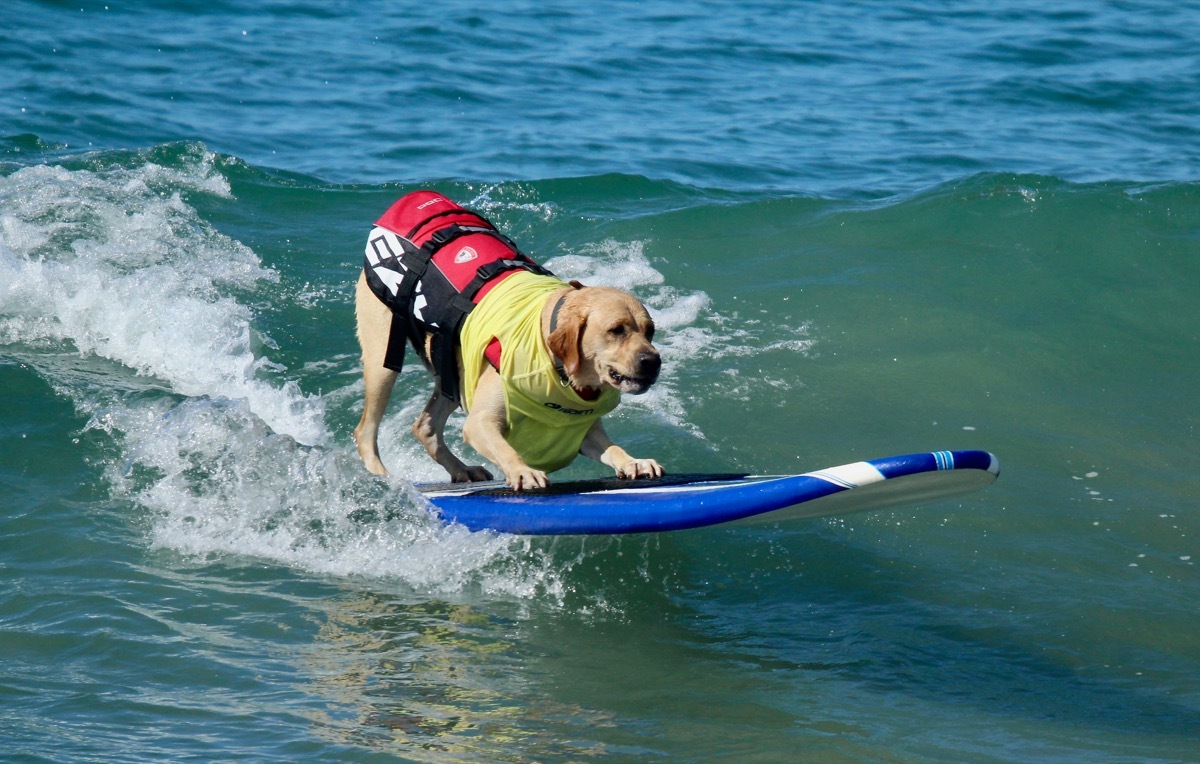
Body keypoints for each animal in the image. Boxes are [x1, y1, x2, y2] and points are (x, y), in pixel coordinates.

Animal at [350, 190, 662, 489]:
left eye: (650, 331)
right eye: (617, 330)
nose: (653, 361)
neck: (555, 362)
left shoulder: (582, 432)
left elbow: (613, 448)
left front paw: (633, 462)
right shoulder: (480, 423)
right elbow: (505, 449)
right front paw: (523, 471)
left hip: (452, 371)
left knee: (425, 426)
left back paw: (461, 469)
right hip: (382, 361)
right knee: (366, 430)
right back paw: (382, 477)